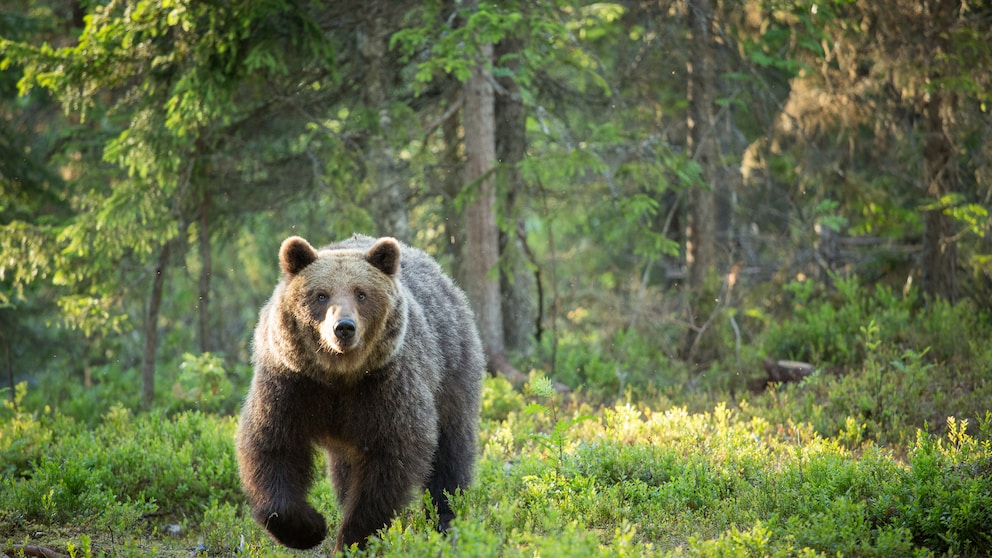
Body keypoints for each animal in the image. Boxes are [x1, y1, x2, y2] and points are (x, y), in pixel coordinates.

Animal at [236, 234, 484, 552]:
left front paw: (353, 538)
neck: (339, 375)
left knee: (451, 452)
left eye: (361, 293)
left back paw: (446, 519)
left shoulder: (385, 387)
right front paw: (310, 527)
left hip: (451, 371)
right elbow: (272, 446)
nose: (343, 327)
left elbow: (390, 461)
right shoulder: (291, 384)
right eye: (321, 295)